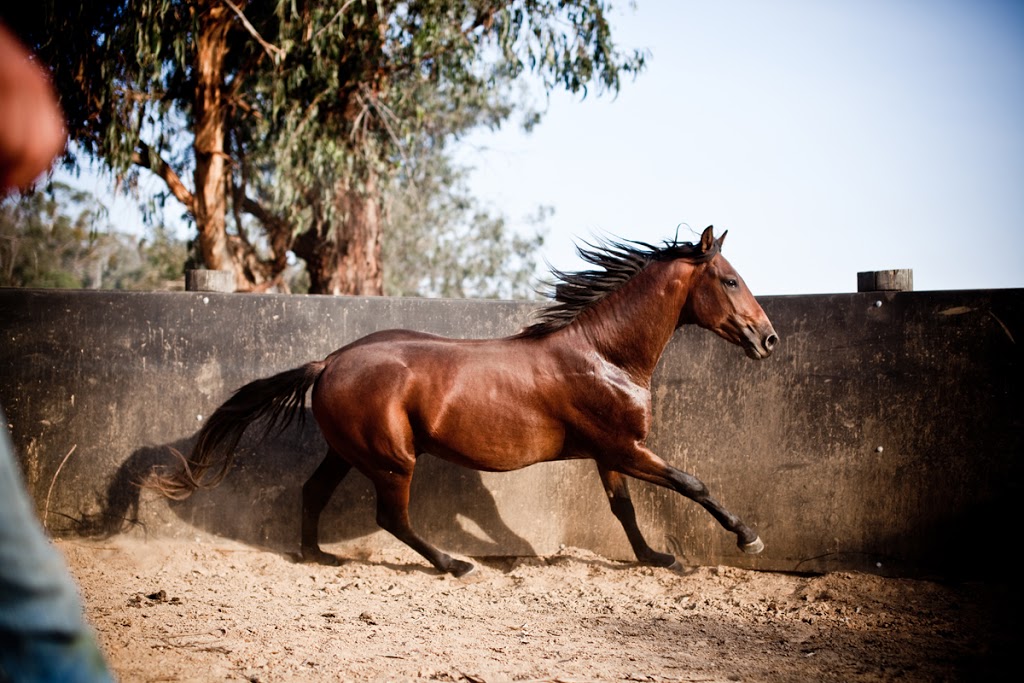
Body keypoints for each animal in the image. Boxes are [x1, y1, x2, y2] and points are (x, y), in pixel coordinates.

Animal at [149, 227, 774, 573]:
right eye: (730, 280)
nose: (767, 339)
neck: (605, 355)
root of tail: (328, 363)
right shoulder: (625, 448)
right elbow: (693, 484)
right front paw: (748, 538)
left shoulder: (611, 453)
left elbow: (624, 509)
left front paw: (657, 559)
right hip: (393, 460)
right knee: (391, 517)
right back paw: (453, 564)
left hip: (349, 453)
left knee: (314, 492)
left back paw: (319, 556)